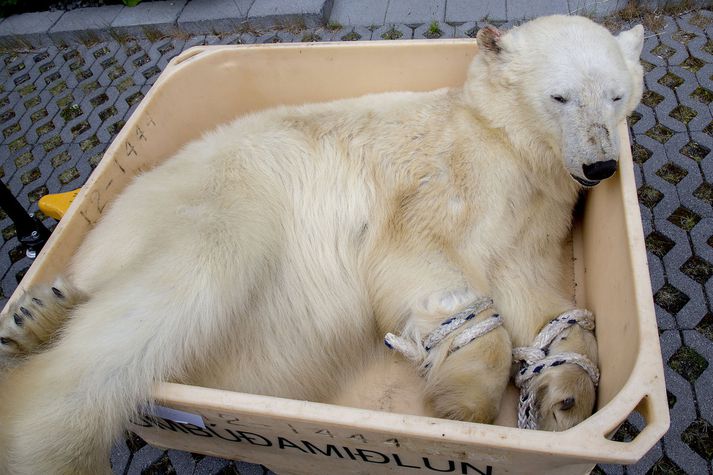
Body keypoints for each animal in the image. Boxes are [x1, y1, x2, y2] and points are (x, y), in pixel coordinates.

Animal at [0, 15, 644, 475]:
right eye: (561, 96)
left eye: (616, 95)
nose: (600, 166)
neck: (505, 143)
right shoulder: (437, 184)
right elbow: (424, 268)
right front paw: (467, 407)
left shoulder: (531, 218)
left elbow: (534, 291)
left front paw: (565, 396)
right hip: (228, 198)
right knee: (170, 297)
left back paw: (38, 314)